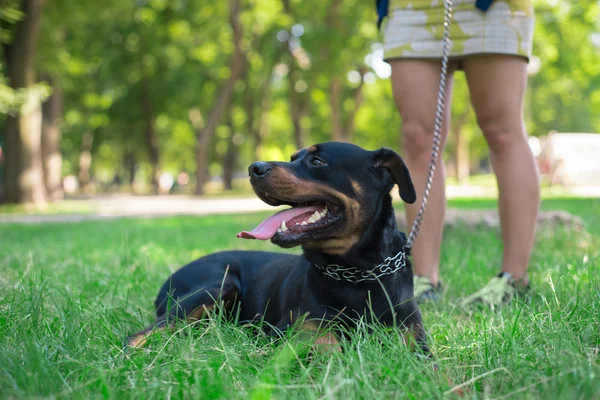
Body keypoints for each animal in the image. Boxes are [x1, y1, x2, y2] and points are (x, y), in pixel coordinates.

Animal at [126, 141, 426, 354]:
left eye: (317, 160)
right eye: (293, 158)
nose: (253, 168)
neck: (355, 273)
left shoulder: (414, 338)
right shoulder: (291, 327)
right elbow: (325, 341)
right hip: (216, 286)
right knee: (139, 334)